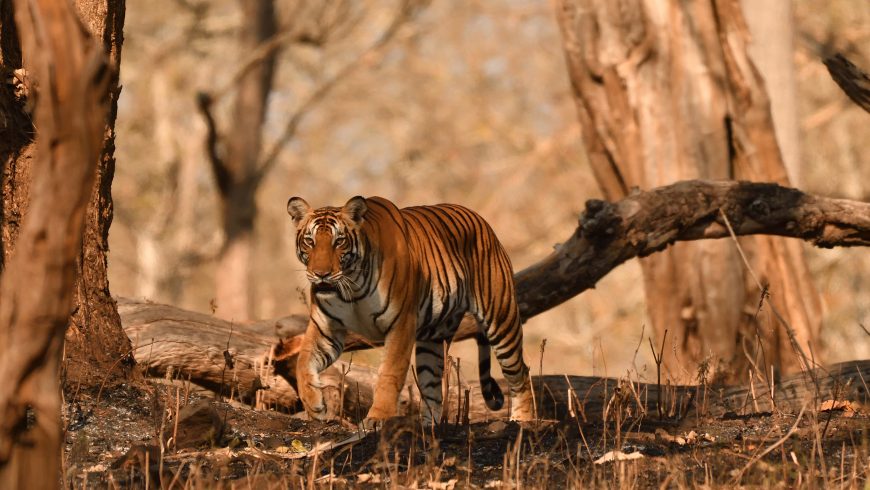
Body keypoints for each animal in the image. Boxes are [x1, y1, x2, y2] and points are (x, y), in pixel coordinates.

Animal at [286, 196, 536, 424]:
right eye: (310, 241)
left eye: (339, 241)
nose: (321, 274)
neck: (352, 286)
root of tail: (482, 221)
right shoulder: (325, 329)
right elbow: (302, 363)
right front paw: (314, 407)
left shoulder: (400, 325)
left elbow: (389, 374)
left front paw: (377, 418)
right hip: (433, 339)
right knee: (432, 388)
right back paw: (428, 427)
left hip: (501, 318)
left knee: (521, 372)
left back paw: (523, 420)